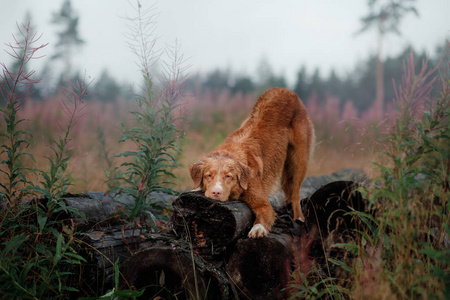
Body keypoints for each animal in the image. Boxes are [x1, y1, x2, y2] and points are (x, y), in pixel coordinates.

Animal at [188, 87, 314, 239]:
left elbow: (264, 214)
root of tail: (285, 90)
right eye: (208, 175)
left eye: (228, 176)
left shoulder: (263, 203)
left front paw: (258, 229)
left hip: (299, 159)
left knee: (296, 192)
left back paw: (298, 218)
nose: (216, 192)